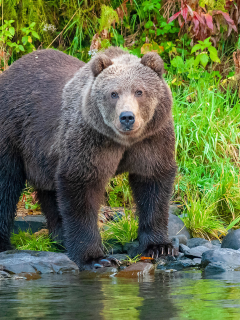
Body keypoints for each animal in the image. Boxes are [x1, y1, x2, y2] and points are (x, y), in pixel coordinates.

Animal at [0, 45, 176, 270]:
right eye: (113, 93)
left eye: (139, 91)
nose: (127, 117)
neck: (123, 141)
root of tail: (10, 71)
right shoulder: (90, 138)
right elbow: (81, 188)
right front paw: (95, 258)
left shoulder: (152, 139)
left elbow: (153, 183)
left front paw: (159, 246)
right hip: (12, 131)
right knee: (6, 183)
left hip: (44, 154)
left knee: (50, 192)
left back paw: (60, 237)